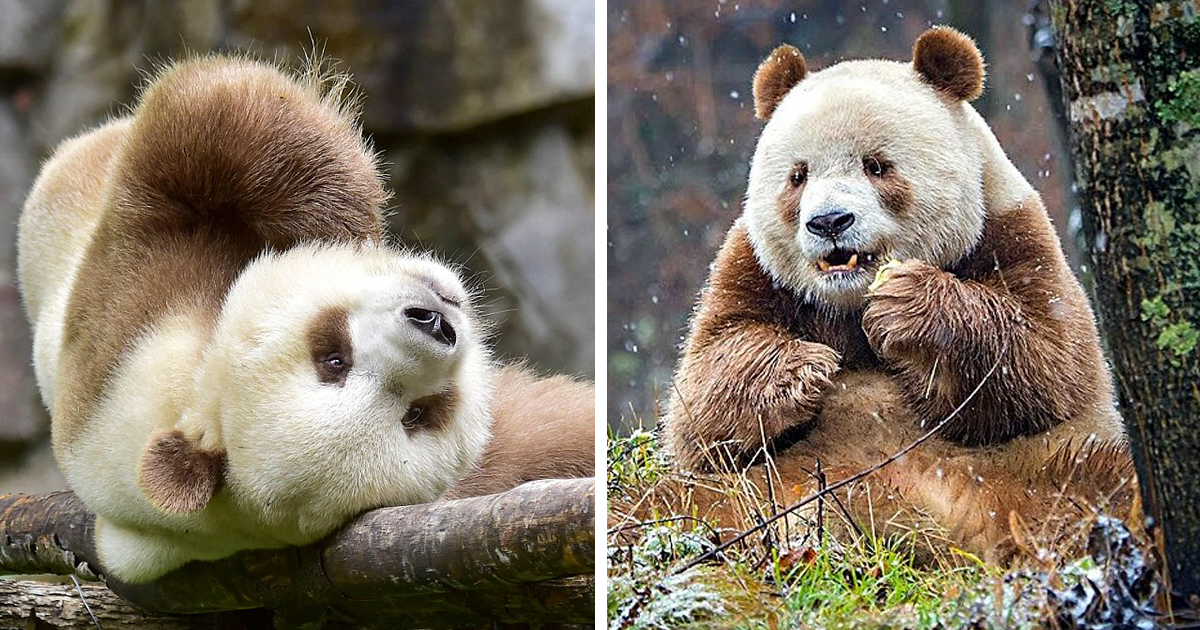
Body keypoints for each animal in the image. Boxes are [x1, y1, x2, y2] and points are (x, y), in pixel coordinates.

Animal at [19, 56, 595, 583]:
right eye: (417, 415)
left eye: (330, 356)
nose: (434, 321)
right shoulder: (122, 347)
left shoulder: (134, 319)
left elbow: (207, 119)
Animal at [662, 28, 1137, 559]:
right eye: (798, 175)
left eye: (876, 166)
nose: (829, 221)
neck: (849, 302)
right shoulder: (753, 267)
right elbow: (703, 396)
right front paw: (804, 369)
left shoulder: (1011, 233)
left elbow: (1045, 363)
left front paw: (907, 307)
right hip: (748, 490)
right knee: (665, 504)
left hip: (1030, 468)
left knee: (1100, 482)